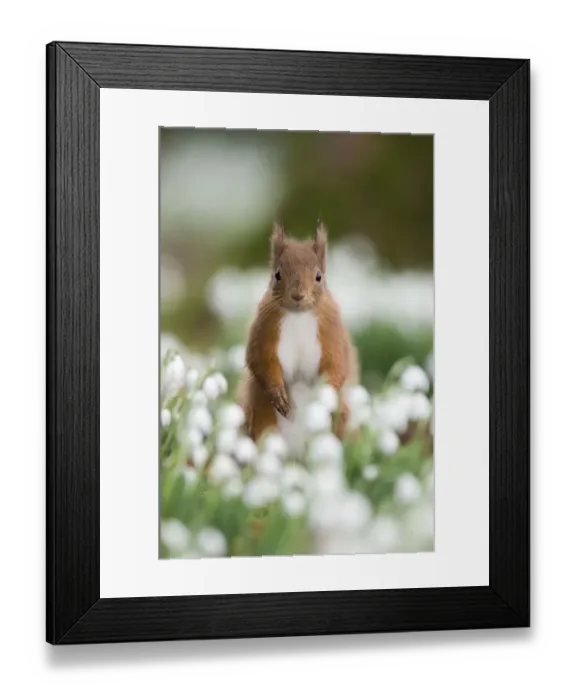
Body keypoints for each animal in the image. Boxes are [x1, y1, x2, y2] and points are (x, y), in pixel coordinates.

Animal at [237, 221, 359, 454]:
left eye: (319, 276)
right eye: (277, 274)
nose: (297, 295)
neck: (299, 316)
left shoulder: (332, 332)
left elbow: (337, 364)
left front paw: (325, 395)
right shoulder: (264, 330)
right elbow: (261, 360)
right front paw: (278, 395)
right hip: (263, 422)